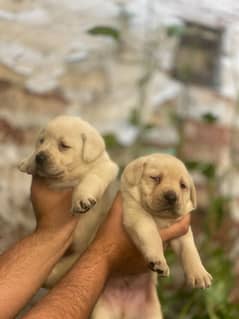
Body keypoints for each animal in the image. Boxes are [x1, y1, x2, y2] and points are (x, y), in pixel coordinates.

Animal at [18, 115, 118, 288]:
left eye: (63, 146)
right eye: (41, 141)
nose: (40, 157)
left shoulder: (105, 167)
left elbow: (90, 178)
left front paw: (81, 199)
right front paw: (28, 161)